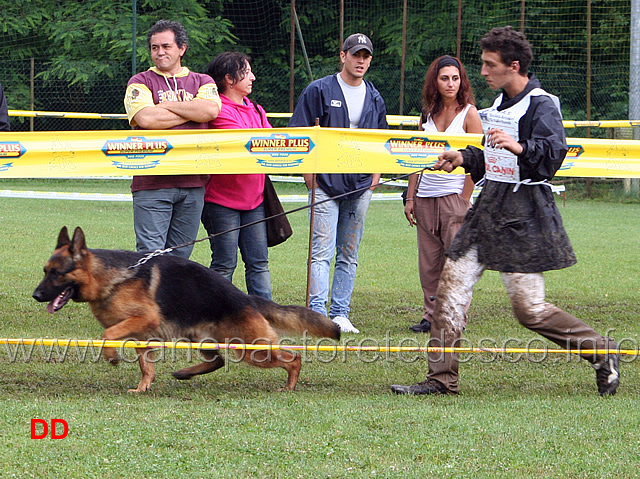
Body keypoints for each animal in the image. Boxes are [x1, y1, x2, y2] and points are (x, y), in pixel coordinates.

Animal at [32, 229, 340, 394]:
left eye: (57, 274)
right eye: (45, 271)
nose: (36, 295)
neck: (109, 278)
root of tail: (246, 298)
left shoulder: (143, 320)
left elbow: (108, 334)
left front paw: (111, 357)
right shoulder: (142, 336)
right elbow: (146, 366)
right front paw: (143, 387)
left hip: (252, 349)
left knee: (293, 358)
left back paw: (289, 386)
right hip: (203, 340)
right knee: (218, 361)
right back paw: (185, 373)